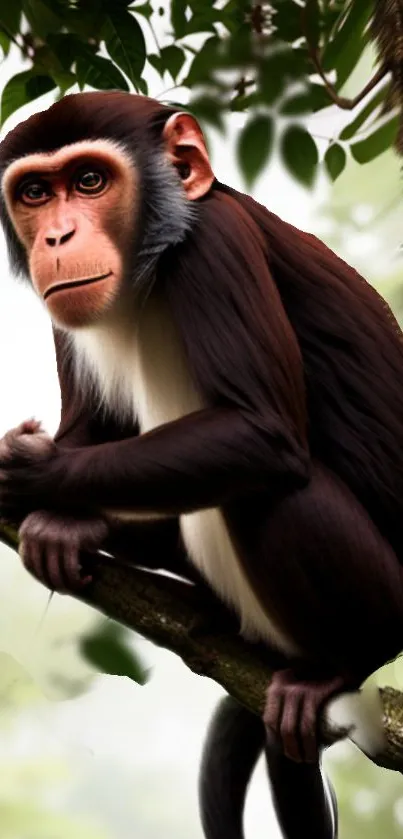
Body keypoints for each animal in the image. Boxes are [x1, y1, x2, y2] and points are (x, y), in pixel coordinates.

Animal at [0, 92, 403, 839]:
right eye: (35, 193)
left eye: (90, 181)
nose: (57, 238)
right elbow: (88, 429)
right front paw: (64, 518)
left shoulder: (218, 244)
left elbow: (259, 432)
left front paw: (23, 476)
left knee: (277, 490)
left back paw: (335, 669)